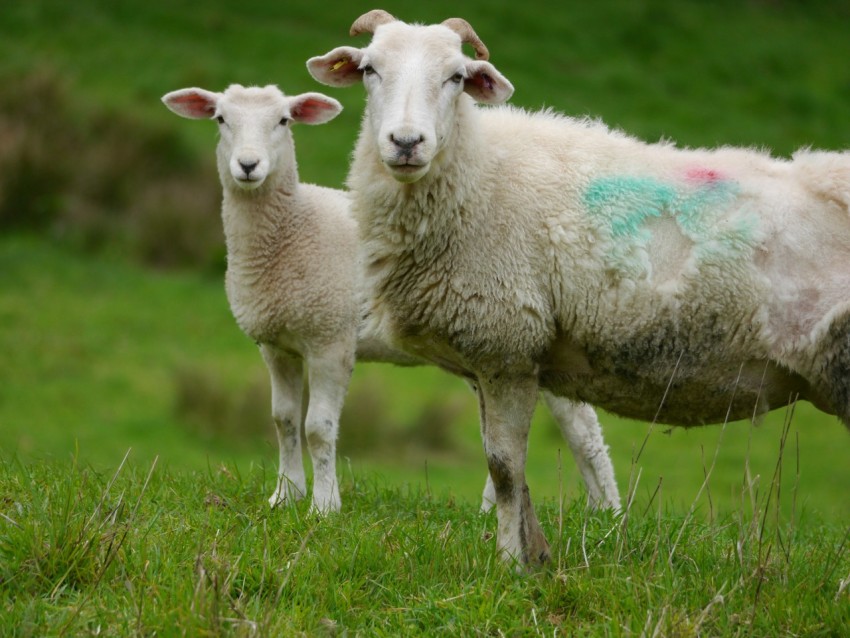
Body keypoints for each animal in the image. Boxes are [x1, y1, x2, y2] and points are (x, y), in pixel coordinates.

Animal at [162, 82, 620, 516]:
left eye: (284, 121)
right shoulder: (277, 344)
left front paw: (324, 506)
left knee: (584, 429)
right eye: (221, 119)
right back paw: (497, 511)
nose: (248, 165)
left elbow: (318, 428)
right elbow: (284, 421)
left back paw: (609, 515)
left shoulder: (331, 337)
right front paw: (285, 496)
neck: (290, 231)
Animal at [308, 10, 848, 568]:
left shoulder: (506, 346)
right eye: (370, 69)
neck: (478, 174)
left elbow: (503, 468)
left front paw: (509, 564)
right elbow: (511, 472)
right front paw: (534, 556)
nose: (406, 142)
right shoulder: (497, 357)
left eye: (456, 77)